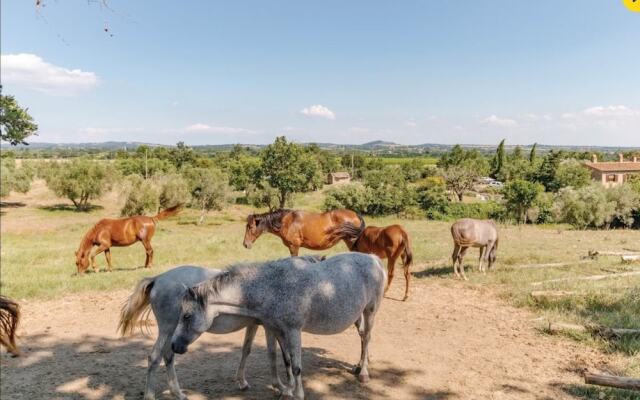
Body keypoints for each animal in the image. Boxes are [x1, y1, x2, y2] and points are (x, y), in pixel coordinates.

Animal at [117, 256, 322, 400]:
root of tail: (158, 279)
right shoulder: (271, 327)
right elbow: (279, 355)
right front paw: (282, 386)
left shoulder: (255, 325)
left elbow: (248, 350)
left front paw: (243, 382)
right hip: (167, 330)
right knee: (154, 358)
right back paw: (151, 395)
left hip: (171, 334)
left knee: (168, 356)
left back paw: (178, 393)